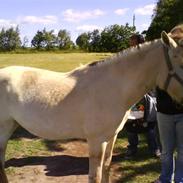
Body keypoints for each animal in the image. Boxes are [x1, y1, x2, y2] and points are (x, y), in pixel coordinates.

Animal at [0, 30, 183, 183]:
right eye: (181, 64)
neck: (113, 88)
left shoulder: (111, 137)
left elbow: (107, 167)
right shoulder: (97, 141)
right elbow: (95, 176)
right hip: (4, 128)